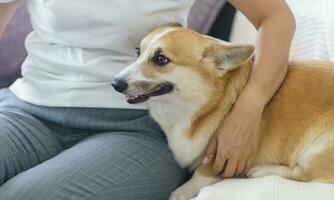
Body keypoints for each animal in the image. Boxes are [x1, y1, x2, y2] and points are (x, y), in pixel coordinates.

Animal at [111, 25, 334, 200]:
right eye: (138, 51)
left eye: (160, 59)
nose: (115, 84)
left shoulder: (220, 154)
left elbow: (200, 176)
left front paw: (180, 192)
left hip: (320, 148)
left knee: (301, 173)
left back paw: (261, 170)